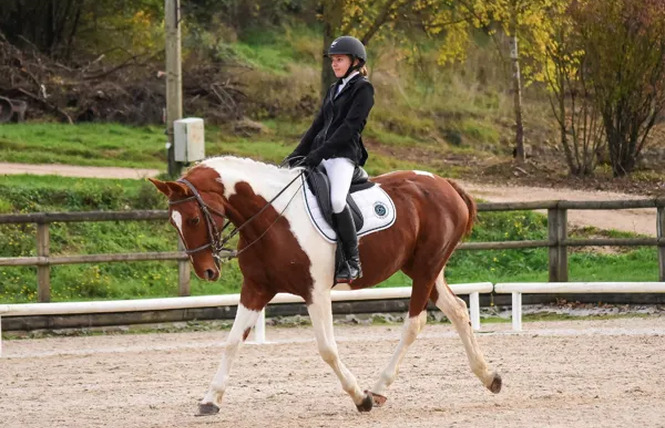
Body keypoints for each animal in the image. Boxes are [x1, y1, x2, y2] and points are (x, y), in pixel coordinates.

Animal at [150, 155, 500, 416]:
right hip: (423, 269)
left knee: (415, 323)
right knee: (458, 309)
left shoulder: (315, 291)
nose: (207, 272)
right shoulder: (256, 288)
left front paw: (360, 398)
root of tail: (445, 183)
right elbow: (232, 341)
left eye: (194, 219)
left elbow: (327, 349)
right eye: (174, 223)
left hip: (426, 268)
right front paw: (210, 399)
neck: (271, 218)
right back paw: (489, 376)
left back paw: (378, 389)